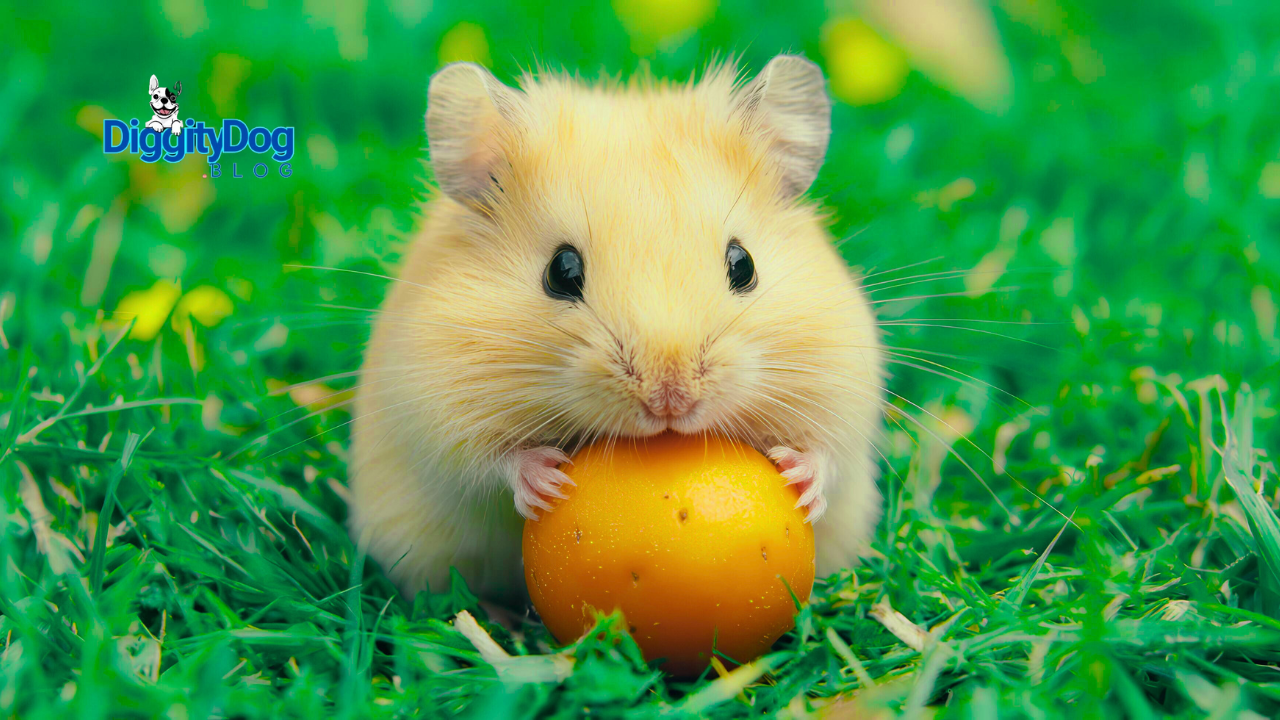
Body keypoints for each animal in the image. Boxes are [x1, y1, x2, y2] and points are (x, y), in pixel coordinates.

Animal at [348, 55, 885, 603]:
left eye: (744, 264)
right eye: (561, 271)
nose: (670, 400)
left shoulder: (844, 384)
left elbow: (829, 450)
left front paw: (799, 480)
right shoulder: (437, 406)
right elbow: (486, 462)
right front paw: (549, 482)